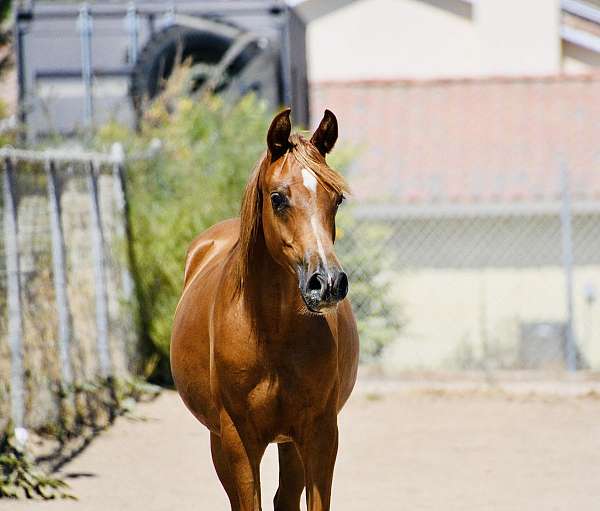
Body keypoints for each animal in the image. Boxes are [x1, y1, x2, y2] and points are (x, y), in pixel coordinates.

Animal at [170, 109, 356, 511]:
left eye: (336, 200)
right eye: (277, 198)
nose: (327, 282)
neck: (272, 334)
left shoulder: (320, 434)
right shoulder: (239, 440)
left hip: (289, 442)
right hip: (221, 441)